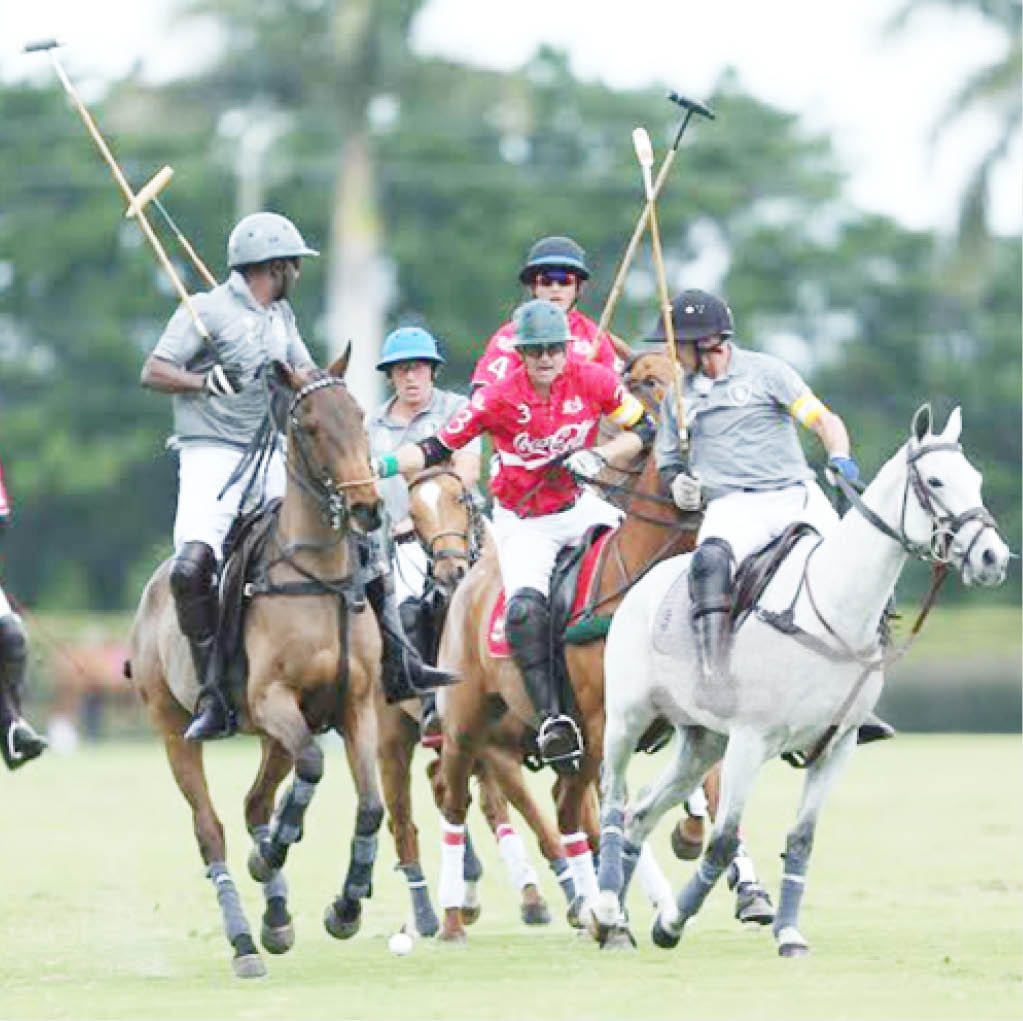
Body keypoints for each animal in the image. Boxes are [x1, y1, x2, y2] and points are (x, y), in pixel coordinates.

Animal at [127, 353, 384, 982]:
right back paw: (244, 940)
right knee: (211, 829)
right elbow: (314, 765)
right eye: (310, 427)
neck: (317, 577)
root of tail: (152, 588)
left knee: (254, 803)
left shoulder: (354, 704)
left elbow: (370, 804)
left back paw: (277, 919)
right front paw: (270, 855)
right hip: (174, 727)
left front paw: (345, 906)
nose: (367, 507)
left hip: (272, 735)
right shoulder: (273, 699)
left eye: (360, 414)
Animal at [376, 468, 576, 937]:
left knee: (448, 788)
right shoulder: (495, 748)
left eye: (462, 498)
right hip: (392, 738)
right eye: (413, 514)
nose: (450, 570)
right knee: (404, 820)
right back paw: (429, 913)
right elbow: (540, 823)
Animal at [431, 349, 703, 941]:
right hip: (466, 724)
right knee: (456, 805)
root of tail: (467, 582)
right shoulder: (602, 720)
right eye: (647, 381)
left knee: (565, 807)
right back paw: (453, 918)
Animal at [597, 401, 1010, 957]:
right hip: (626, 719)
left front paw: (789, 934)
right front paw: (671, 925)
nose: (994, 558)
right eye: (936, 480)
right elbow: (723, 840)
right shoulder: (750, 740)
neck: (835, 610)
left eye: (977, 479)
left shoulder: (837, 746)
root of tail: (646, 583)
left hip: (702, 741)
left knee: (640, 812)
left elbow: (801, 840)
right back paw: (605, 908)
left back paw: (612, 920)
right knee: (613, 801)